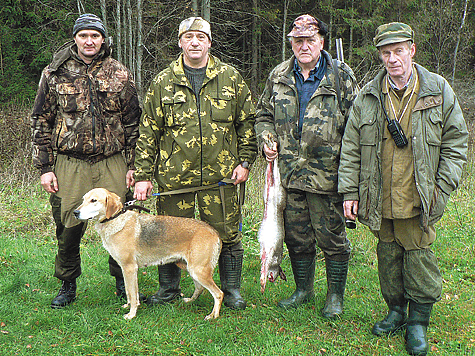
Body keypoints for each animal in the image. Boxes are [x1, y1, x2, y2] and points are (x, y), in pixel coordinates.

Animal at [73, 188, 224, 322]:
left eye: (94, 200)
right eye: (83, 199)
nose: (75, 212)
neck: (115, 220)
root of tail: (214, 232)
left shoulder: (129, 268)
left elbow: (132, 294)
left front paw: (131, 315)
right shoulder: (126, 270)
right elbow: (129, 292)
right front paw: (128, 306)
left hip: (198, 271)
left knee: (218, 294)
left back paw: (213, 316)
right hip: (189, 268)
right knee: (200, 288)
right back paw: (190, 301)